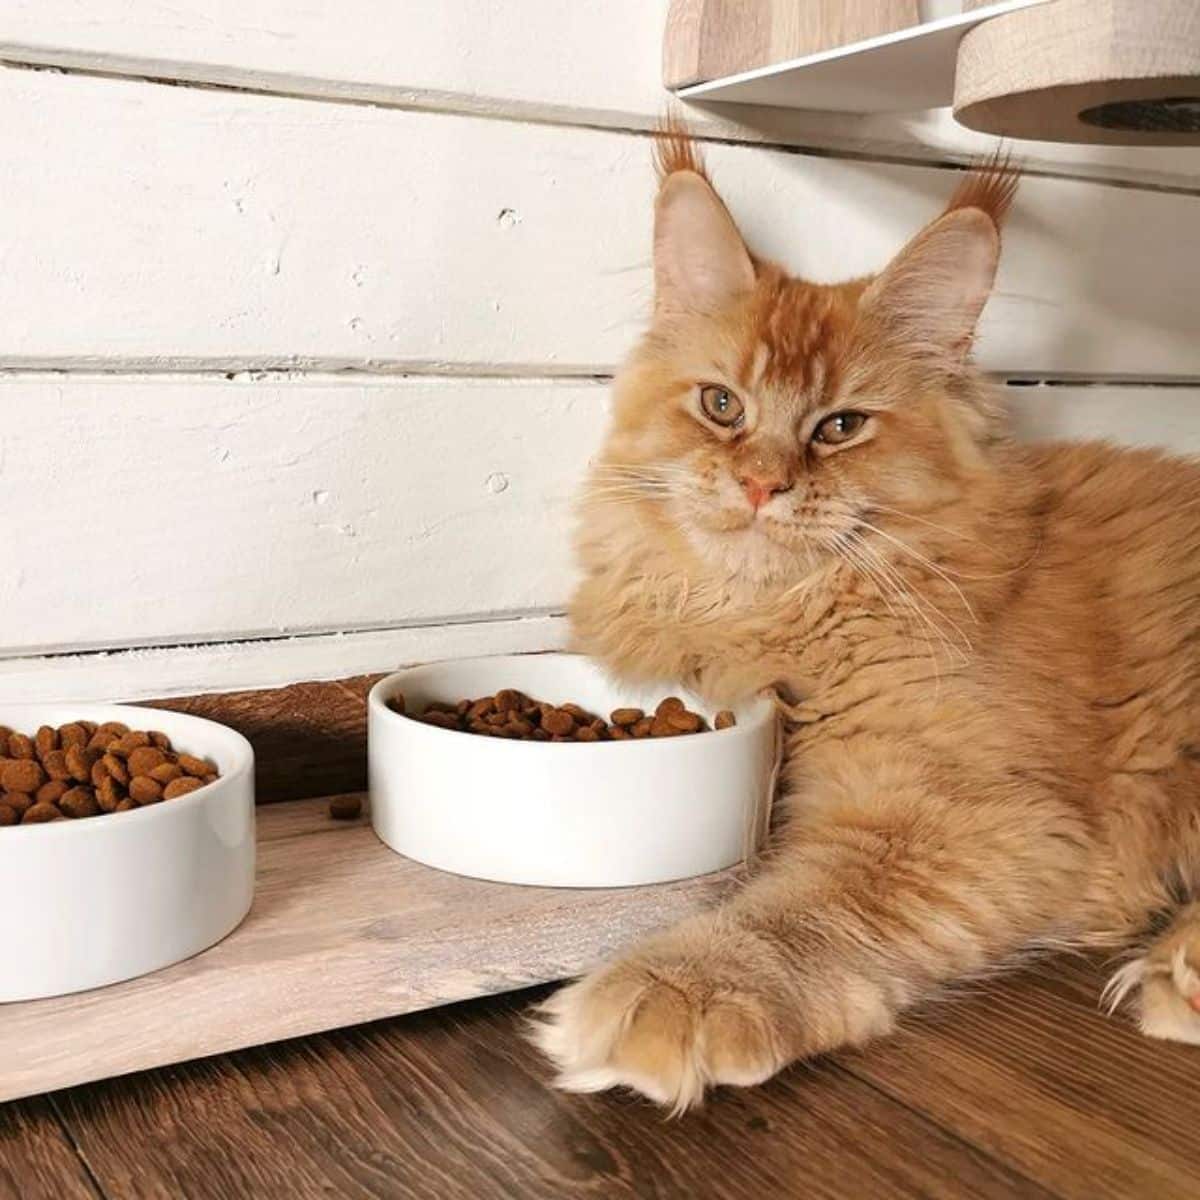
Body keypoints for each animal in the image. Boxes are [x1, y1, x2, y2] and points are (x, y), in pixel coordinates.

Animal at [535, 126, 1200, 1108]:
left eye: (840, 427)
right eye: (722, 406)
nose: (762, 485)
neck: (776, 615)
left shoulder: (975, 818)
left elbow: (806, 907)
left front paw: (679, 987)